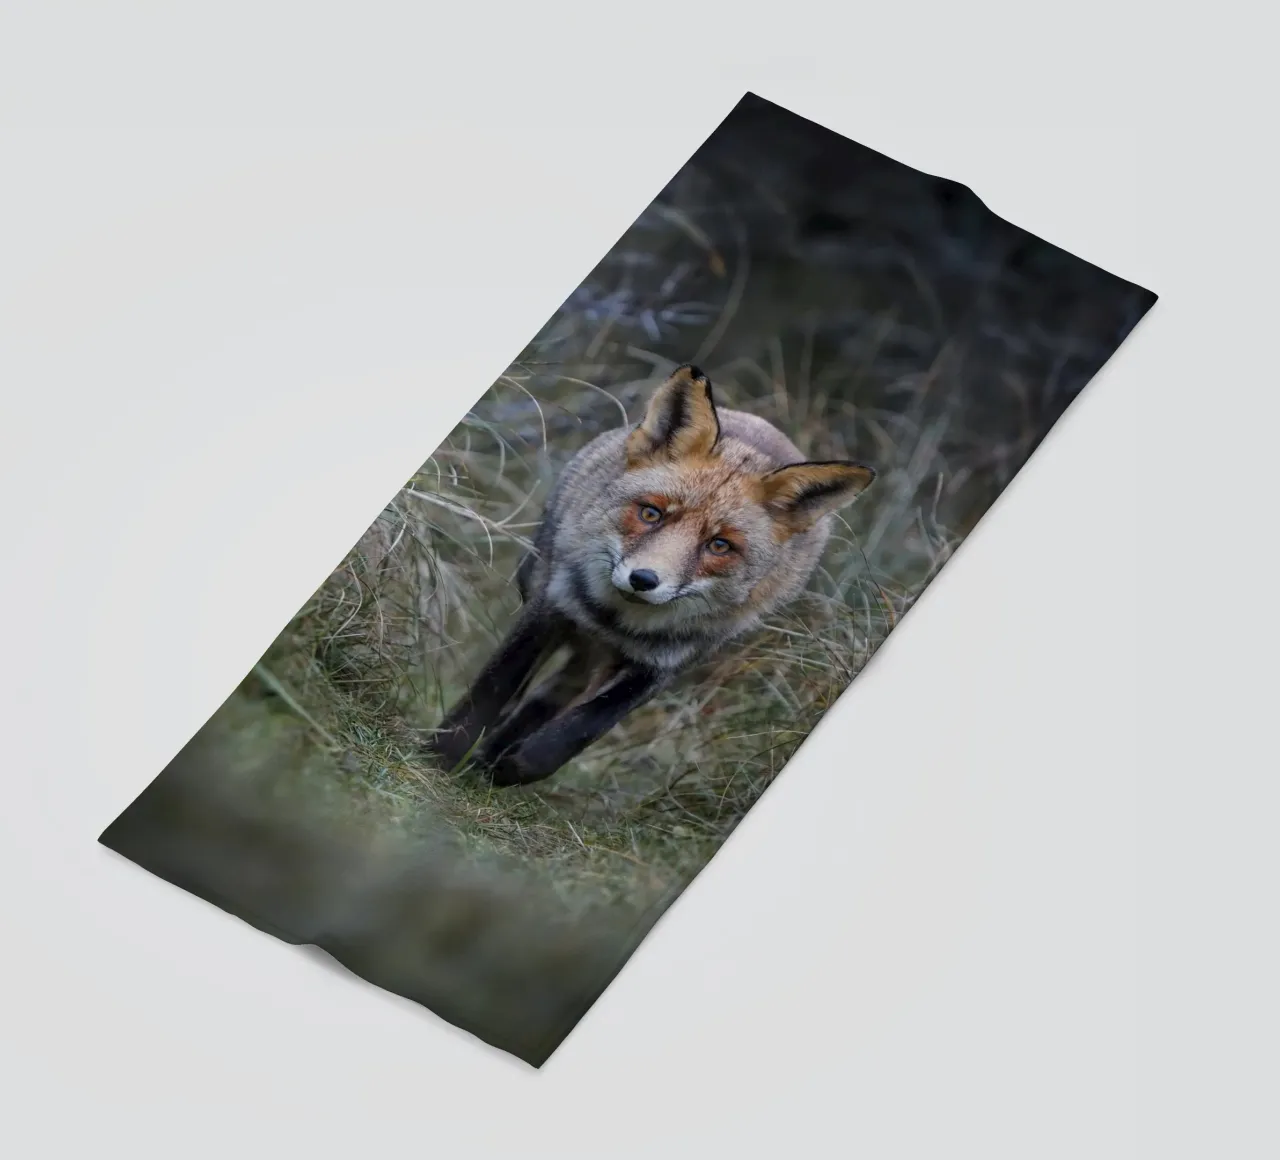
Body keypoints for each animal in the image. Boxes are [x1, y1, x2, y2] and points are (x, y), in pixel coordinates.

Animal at [431, 364, 876, 786]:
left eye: (719, 545)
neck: (615, 621)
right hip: (544, 589)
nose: (643, 580)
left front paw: (515, 765)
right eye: (651, 513)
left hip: (601, 661)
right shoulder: (549, 608)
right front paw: (439, 756)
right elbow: (491, 691)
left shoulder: (663, 666)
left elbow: (581, 730)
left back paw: (496, 755)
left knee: (554, 696)